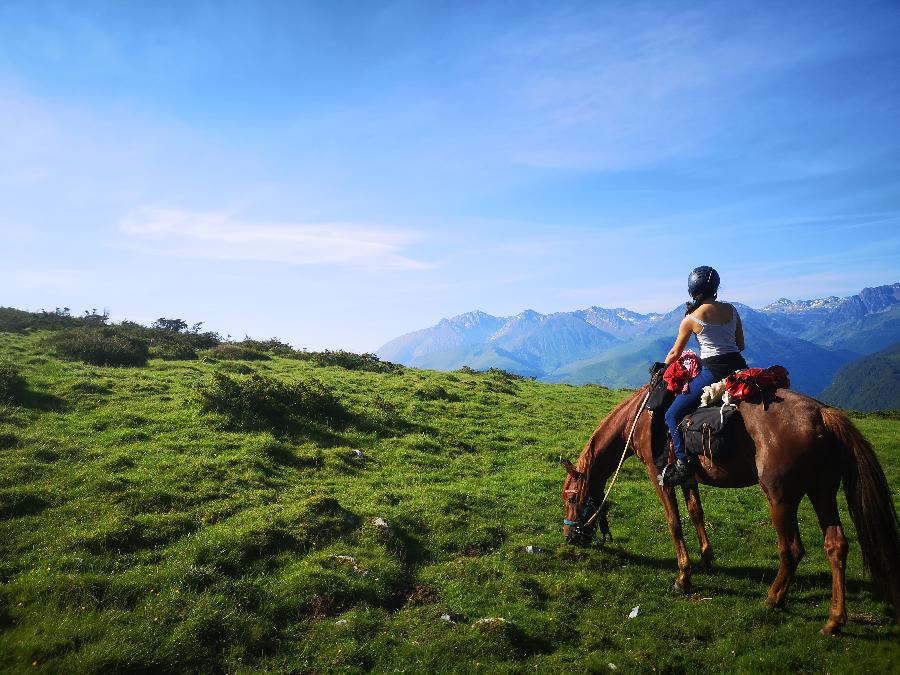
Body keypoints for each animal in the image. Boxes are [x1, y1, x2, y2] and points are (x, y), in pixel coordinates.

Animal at [564, 388, 900, 636]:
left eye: (570, 497)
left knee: (791, 549)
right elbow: (696, 513)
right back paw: (833, 620)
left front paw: (683, 577)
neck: (640, 417)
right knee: (835, 545)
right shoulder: (687, 475)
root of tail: (822, 414)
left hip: (780, 497)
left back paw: (773, 598)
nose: (569, 536)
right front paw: (706, 558)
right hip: (823, 491)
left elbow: (674, 522)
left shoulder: (657, 474)